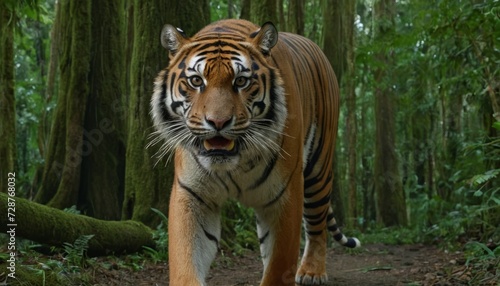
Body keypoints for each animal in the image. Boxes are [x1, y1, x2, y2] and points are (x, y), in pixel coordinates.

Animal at [149, 19, 360, 284]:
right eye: (196, 81)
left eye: (241, 81)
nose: (218, 122)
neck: (234, 163)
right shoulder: (191, 194)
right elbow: (186, 259)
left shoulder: (286, 194)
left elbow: (279, 265)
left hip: (318, 171)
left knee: (316, 226)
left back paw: (312, 272)